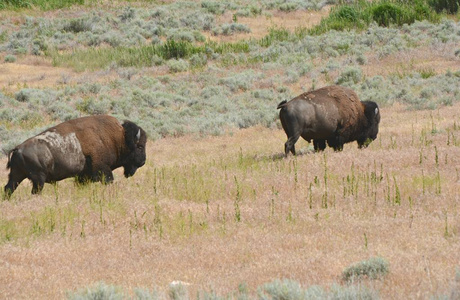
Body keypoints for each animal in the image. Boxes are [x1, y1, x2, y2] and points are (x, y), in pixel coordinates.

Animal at [3, 114, 146, 197]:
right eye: (139, 146)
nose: (143, 161)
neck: (118, 137)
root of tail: (17, 148)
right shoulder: (103, 170)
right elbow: (108, 180)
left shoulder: (82, 176)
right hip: (38, 179)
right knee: (34, 191)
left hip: (17, 175)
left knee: (8, 188)